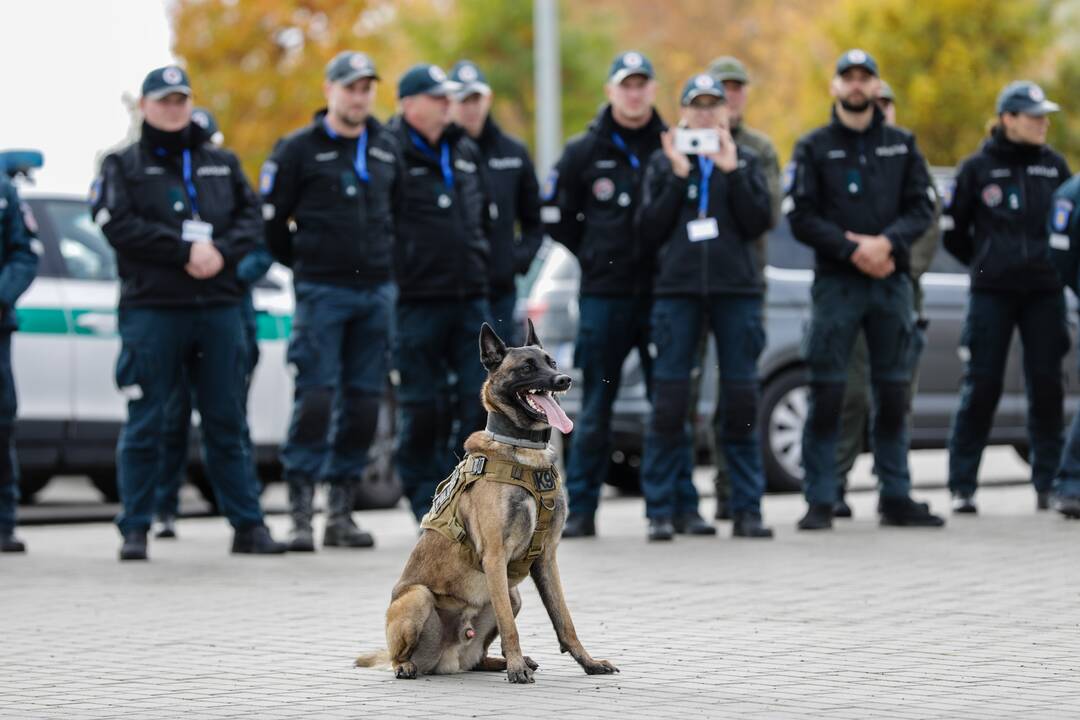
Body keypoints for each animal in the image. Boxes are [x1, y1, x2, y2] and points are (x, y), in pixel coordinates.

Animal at [356, 321, 617, 686]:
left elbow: (565, 621)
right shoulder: (495, 558)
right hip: (419, 597)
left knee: (477, 658)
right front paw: (517, 669)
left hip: (512, 594)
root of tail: (447, 658)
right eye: (526, 368)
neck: (524, 451)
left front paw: (588, 663)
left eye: (551, 362)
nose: (564, 379)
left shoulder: (547, 558)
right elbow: (510, 628)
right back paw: (410, 666)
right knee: (400, 656)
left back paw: (500, 662)